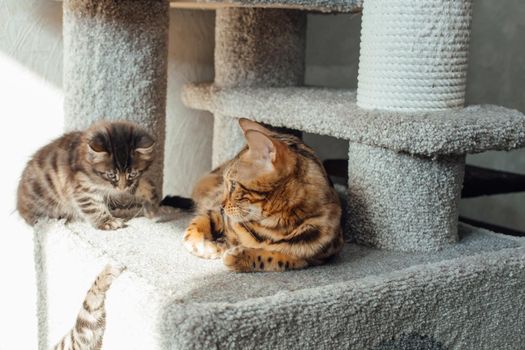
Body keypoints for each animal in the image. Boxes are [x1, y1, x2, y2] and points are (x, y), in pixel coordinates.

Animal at [17, 120, 159, 230]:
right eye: (111, 175)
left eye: (132, 174)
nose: (121, 187)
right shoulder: (81, 188)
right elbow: (94, 206)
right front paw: (108, 221)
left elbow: (144, 185)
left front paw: (153, 208)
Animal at [182, 119, 342, 272]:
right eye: (226, 182)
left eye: (233, 185)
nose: (222, 206)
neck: (272, 225)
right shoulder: (217, 212)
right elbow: (194, 227)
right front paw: (206, 246)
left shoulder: (314, 257)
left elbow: (277, 257)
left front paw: (238, 256)